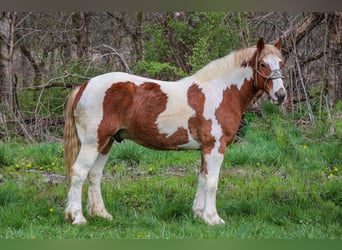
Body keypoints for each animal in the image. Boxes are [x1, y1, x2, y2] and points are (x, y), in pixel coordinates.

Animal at [63, 37, 286, 227]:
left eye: (281, 63)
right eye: (263, 64)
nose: (281, 95)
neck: (221, 92)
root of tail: (84, 86)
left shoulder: (205, 148)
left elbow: (202, 178)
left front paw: (199, 214)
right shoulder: (215, 147)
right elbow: (212, 182)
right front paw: (213, 218)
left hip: (106, 142)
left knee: (94, 175)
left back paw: (101, 214)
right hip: (93, 143)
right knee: (79, 172)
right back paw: (78, 218)